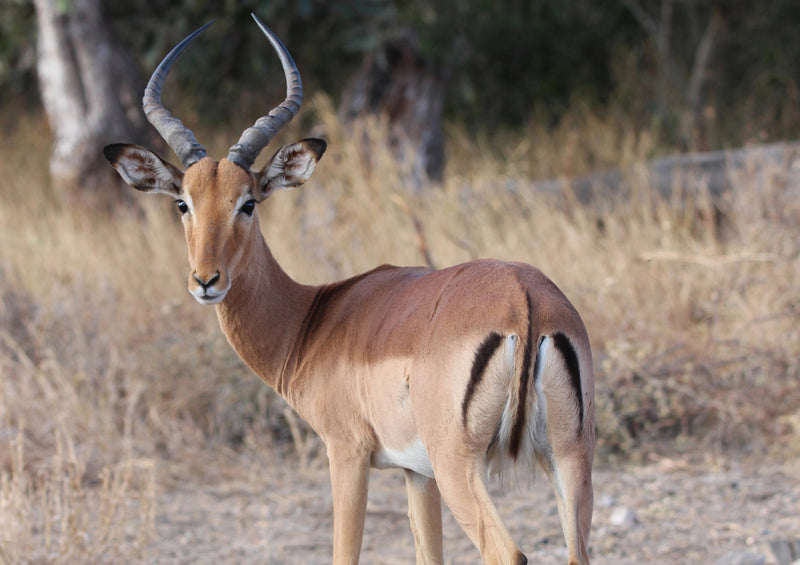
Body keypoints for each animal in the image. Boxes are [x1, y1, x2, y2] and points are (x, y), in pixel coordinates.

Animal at [103, 15, 592, 564]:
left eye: (248, 202)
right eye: (183, 202)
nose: (206, 280)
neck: (311, 320)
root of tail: (525, 302)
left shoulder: (347, 453)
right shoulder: (416, 473)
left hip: (460, 465)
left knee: (508, 552)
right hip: (569, 457)